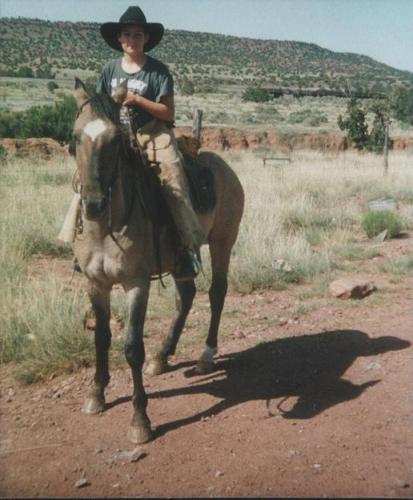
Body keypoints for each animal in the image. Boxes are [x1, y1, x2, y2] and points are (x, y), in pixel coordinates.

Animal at [71, 79, 244, 443]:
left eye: (115, 140)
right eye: (75, 138)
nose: (93, 204)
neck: (107, 226)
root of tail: (223, 165)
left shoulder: (136, 283)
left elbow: (132, 347)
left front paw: (140, 419)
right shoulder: (95, 283)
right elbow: (101, 336)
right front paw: (97, 394)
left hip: (223, 242)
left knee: (217, 293)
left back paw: (206, 355)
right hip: (182, 259)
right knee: (187, 295)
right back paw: (163, 356)